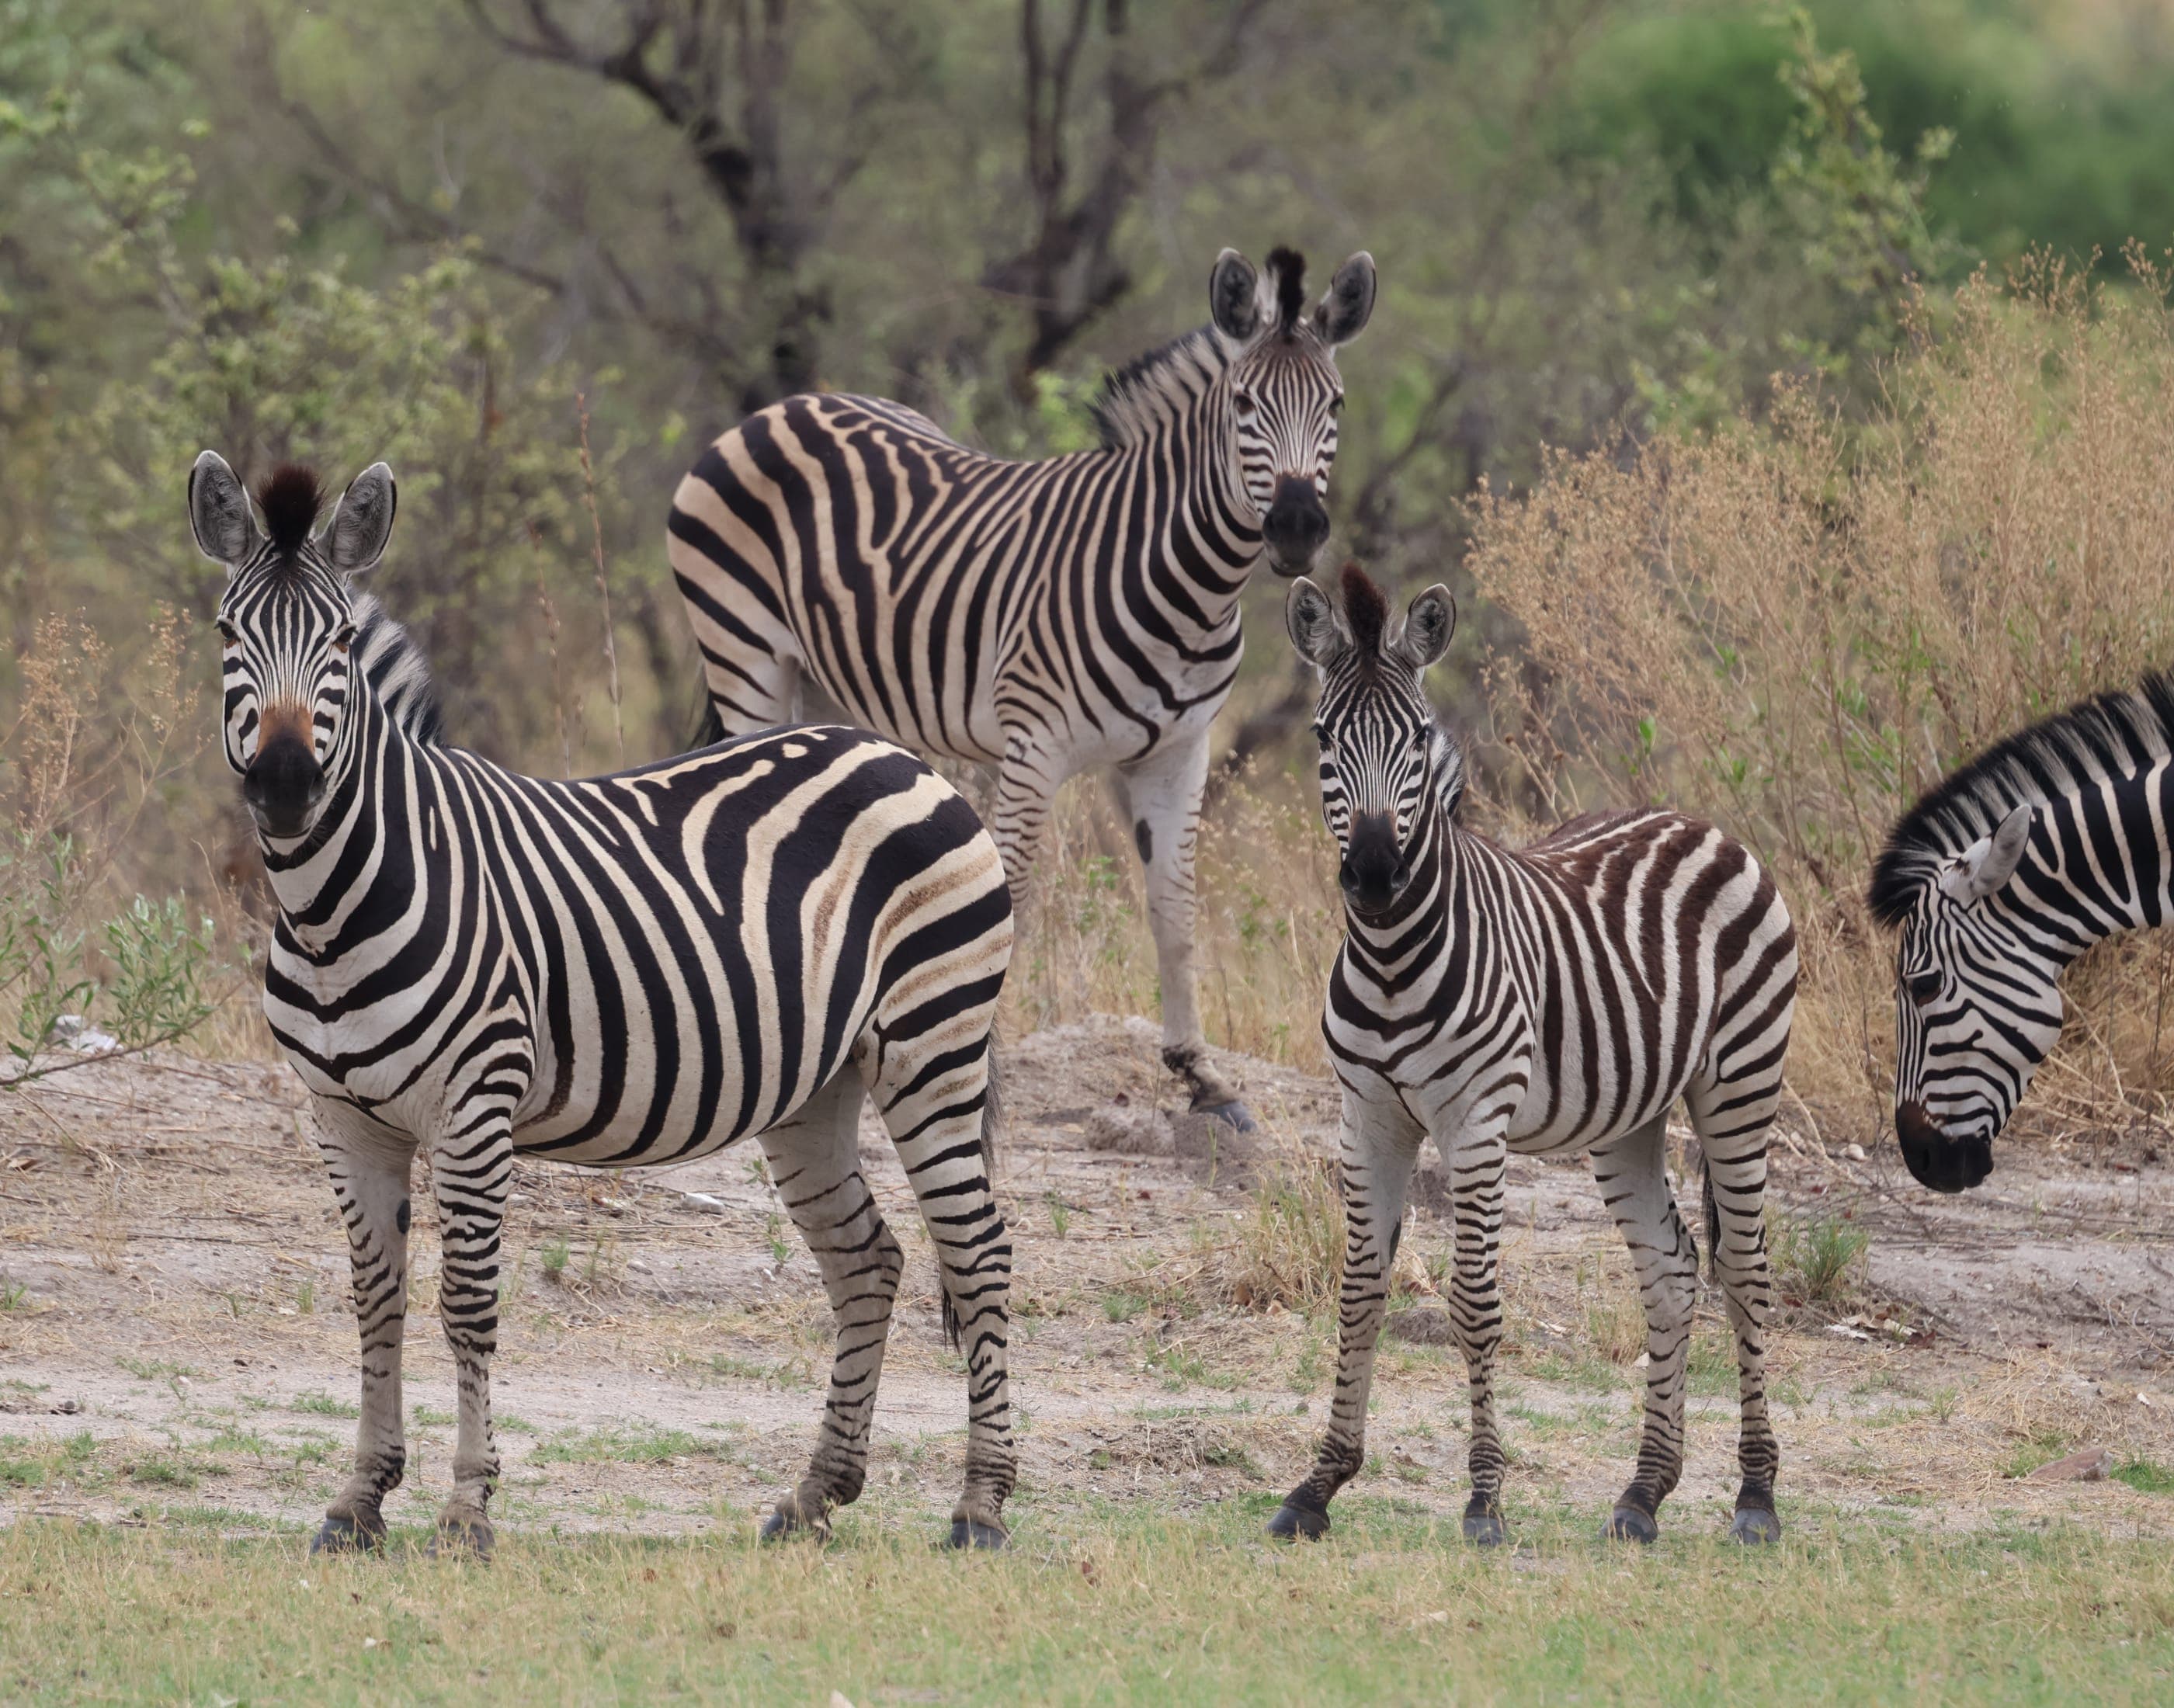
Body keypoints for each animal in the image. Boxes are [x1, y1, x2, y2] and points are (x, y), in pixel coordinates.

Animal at [187, 450, 1018, 1556]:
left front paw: (467, 1510)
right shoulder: (342, 1119)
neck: (336, 906)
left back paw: (980, 1506)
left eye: (339, 643)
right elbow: (375, 1299)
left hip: (935, 1040)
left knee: (978, 1254)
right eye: (227, 634)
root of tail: (902, 756)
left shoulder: (476, 1105)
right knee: (867, 1261)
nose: (284, 784)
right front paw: (358, 1501)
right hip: (817, 1088)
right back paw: (812, 1495)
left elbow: (465, 1303)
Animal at [668, 244, 1378, 1129]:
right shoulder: (1033, 745)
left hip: (836, 690)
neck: (1188, 586)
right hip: (746, 654)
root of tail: (779, 408)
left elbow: (1174, 907)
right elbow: (1008, 900)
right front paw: (981, 1082)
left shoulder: (1180, 751)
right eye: (1245, 404)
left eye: (1337, 404)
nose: (1296, 528)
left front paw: (1200, 1075)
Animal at [1270, 565, 1798, 1547]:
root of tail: (1694, 820)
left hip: (1741, 1081)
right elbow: (1358, 1292)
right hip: (1631, 1116)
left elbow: (1475, 1304)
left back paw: (1754, 1497)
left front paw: (1484, 1500)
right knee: (1671, 1270)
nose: (1373, 874)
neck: (1392, 956)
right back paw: (1642, 1493)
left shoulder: (1475, 1122)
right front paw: (1317, 1486)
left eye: (1417, 737)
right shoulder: (1366, 1118)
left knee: (1744, 1272)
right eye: (1323, 736)